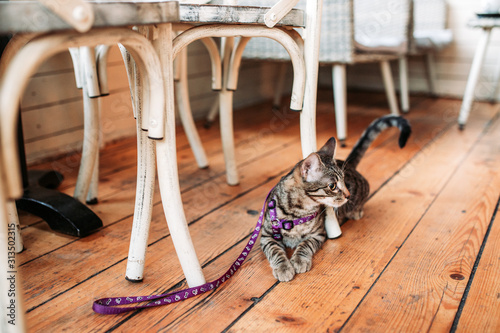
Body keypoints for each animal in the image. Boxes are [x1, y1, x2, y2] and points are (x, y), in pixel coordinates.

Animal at [262, 114, 410, 280]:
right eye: (332, 186)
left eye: (344, 181)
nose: (348, 195)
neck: (297, 213)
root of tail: (349, 164)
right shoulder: (266, 235)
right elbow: (275, 251)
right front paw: (283, 267)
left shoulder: (318, 234)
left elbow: (305, 245)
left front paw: (299, 260)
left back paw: (356, 211)